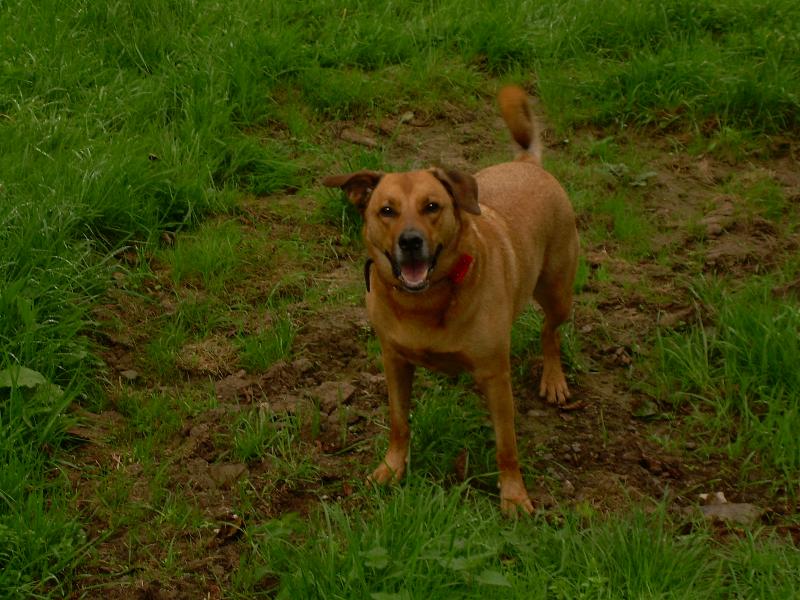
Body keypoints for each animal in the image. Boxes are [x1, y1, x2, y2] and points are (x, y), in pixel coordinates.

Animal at [323, 86, 579, 513]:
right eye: (386, 211)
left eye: (432, 206)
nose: (410, 242)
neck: (426, 301)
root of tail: (527, 164)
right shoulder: (394, 361)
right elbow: (399, 423)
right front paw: (391, 470)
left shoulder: (496, 375)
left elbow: (506, 445)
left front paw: (514, 495)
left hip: (558, 290)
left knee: (550, 331)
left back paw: (554, 378)